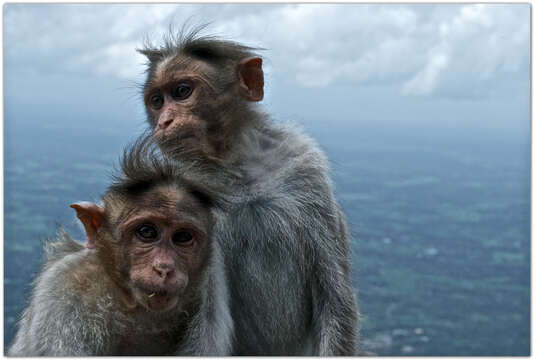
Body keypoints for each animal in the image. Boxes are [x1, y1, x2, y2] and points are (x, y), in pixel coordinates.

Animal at [6, 136, 232, 358]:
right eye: (147, 232)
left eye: (183, 237)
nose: (164, 268)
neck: (131, 304)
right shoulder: (65, 292)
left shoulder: (209, 291)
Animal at [140, 27, 362, 354]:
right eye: (157, 100)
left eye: (181, 91)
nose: (165, 121)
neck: (237, 167)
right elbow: (207, 319)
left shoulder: (305, 169)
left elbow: (334, 299)